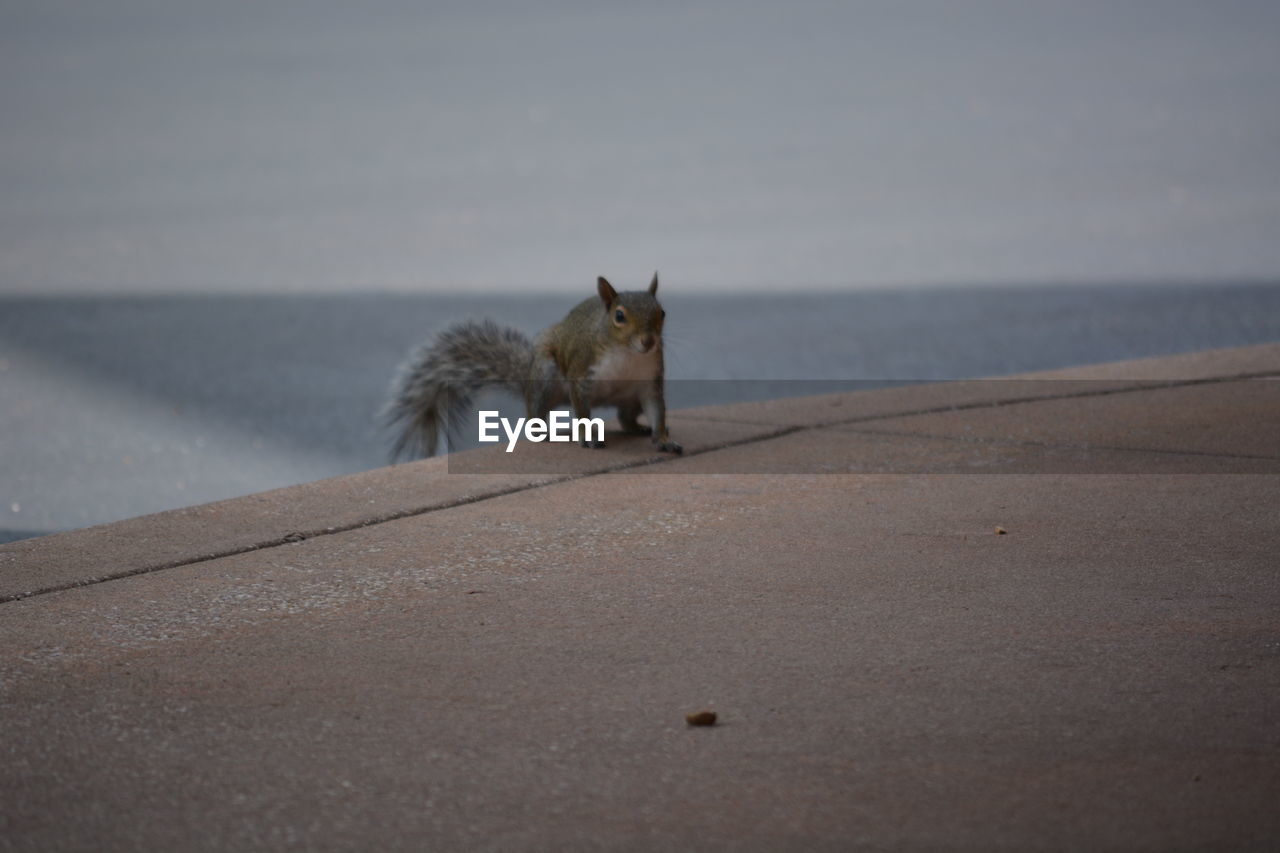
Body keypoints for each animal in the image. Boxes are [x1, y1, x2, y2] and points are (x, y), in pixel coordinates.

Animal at [384, 272, 686, 458]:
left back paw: (639, 428)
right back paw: (550, 432)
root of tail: (527, 380)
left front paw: (662, 439)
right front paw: (587, 436)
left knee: (625, 417)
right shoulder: (580, 372)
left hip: (629, 398)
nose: (649, 341)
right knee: (533, 419)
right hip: (545, 378)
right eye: (619, 316)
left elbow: (657, 412)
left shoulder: (649, 382)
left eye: (662, 313)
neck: (626, 354)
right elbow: (582, 412)